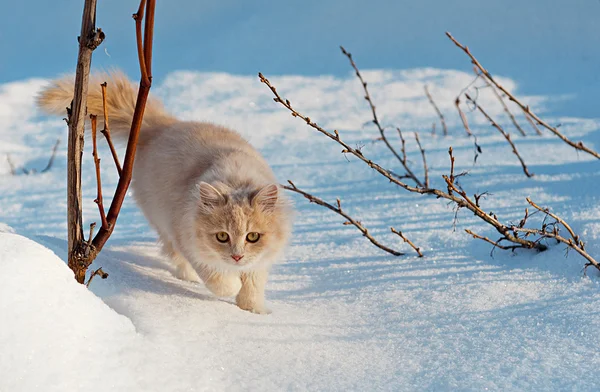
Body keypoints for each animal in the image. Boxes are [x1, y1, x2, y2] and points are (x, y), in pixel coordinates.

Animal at [37, 71, 290, 316]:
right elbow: (219, 280)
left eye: (253, 236)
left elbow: (253, 285)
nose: (237, 257)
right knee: (178, 258)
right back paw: (190, 279)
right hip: (163, 223)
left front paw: (253, 311)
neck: (235, 178)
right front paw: (232, 287)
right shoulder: (187, 239)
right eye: (222, 236)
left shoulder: (260, 261)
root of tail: (160, 127)